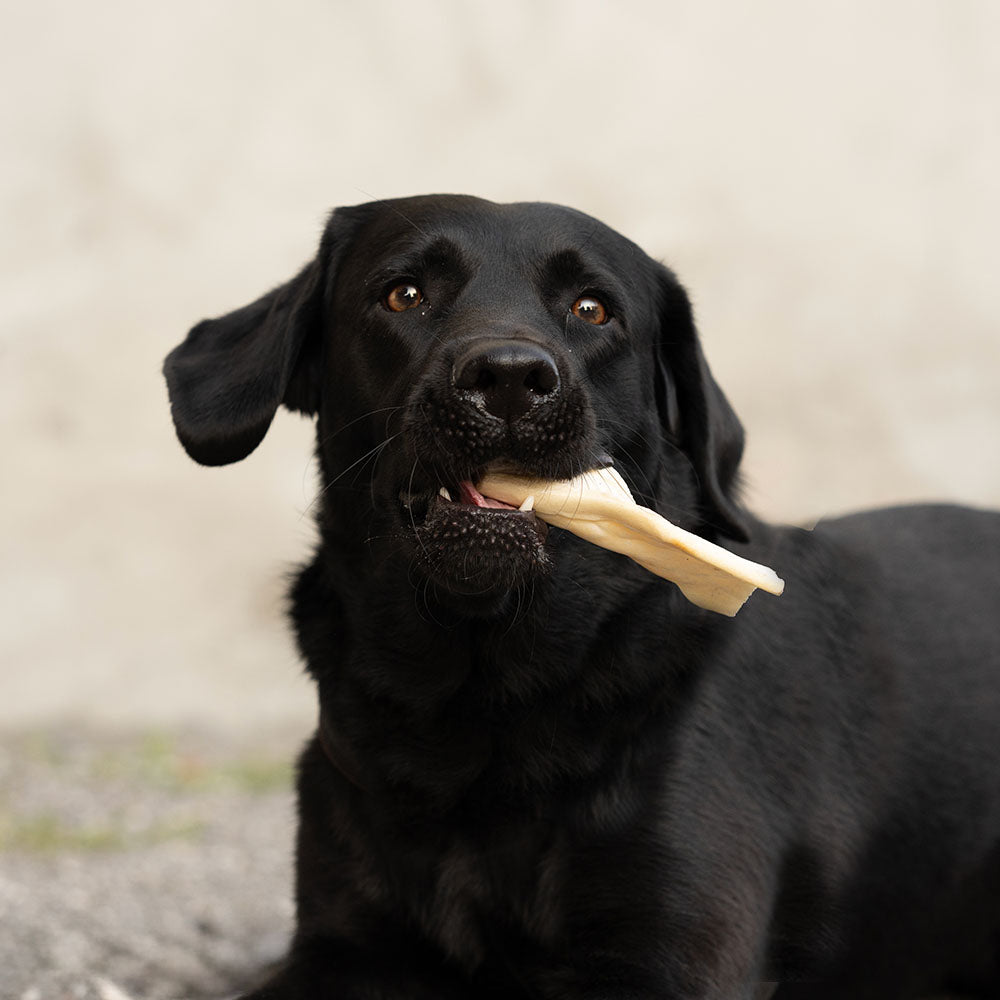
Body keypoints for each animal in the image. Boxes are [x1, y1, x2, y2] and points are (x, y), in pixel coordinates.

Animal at [166, 195, 1000, 1000]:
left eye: (593, 309)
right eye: (403, 294)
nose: (508, 378)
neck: (480, 704)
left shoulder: (662, 956)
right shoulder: (348, 944)